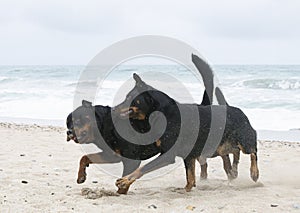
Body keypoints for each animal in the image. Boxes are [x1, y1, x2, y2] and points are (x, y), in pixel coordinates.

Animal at [113, 73, 258, 193]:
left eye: (129, 97)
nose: (113, 109)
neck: (161, 113)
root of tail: (239, 111)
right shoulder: (189, 155)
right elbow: (190, 176)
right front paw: (187, 188)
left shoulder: (168, 154)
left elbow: (142, 168)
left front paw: (125, 181)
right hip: (221, 147)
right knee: (235, 152)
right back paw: (234, 171)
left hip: (244, 140)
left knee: (252, 152)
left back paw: (254, 173)